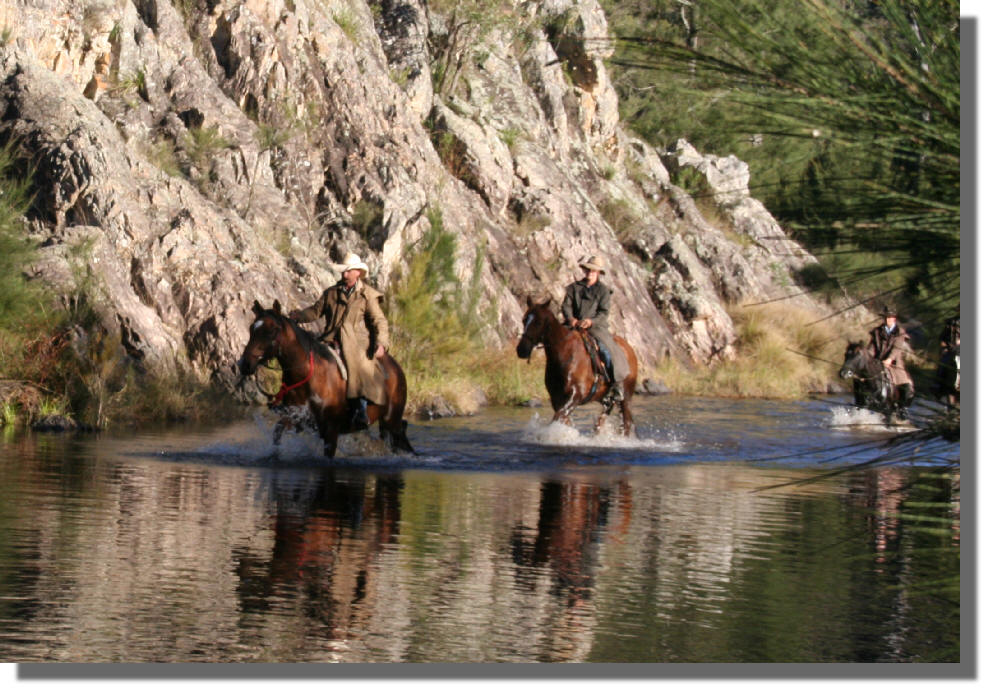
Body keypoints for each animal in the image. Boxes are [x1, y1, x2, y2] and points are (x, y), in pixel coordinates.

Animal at [237, 300, 414, 460]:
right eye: (252, 329)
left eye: (273, 330)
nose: (245, 364)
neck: (309, 377)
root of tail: (397, 368)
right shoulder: (296, 419)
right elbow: (277, 433)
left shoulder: (331, 430)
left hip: (392, 421)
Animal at [516, 298, 640, 436]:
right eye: (524, 320)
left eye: (539, 322)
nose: (521, 350)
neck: (565, 353)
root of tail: (629, 349)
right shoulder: (557, 399)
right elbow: (564, 420)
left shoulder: (574, 397)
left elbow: (558, 418)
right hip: (605, 397)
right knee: (605, 416)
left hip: (626, 397)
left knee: (626, 422)